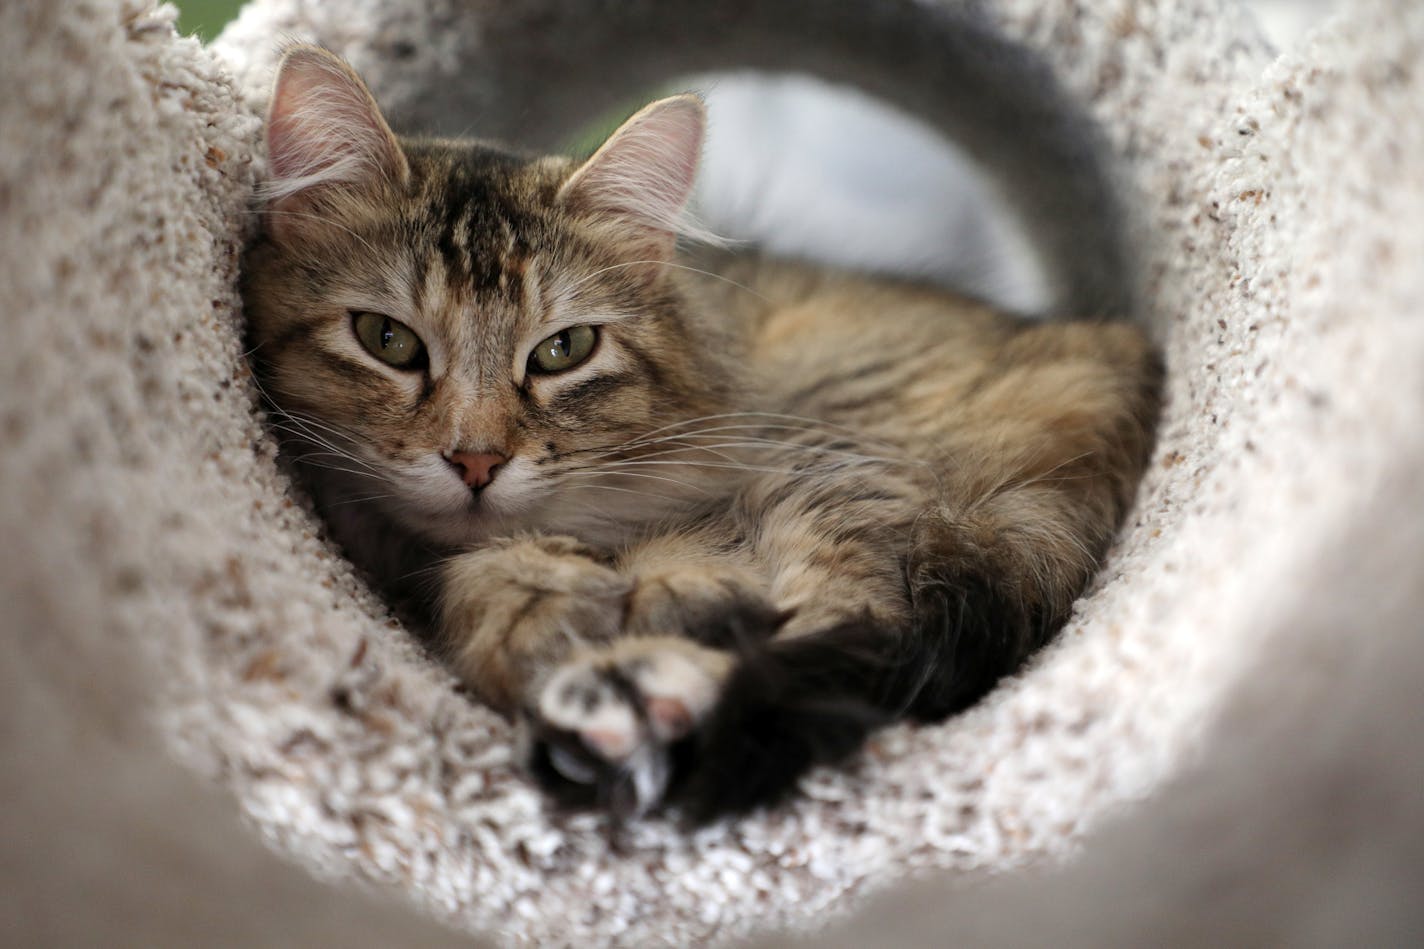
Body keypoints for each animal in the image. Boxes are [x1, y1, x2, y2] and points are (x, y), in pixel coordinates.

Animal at [242, 44, 1156, 820]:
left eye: (563, 350)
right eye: (386, 340)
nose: (476, 461)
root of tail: (1123, 360)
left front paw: (603, 603)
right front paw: (547, 602)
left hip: (836, 464)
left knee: (859, 627)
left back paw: (640, 694)